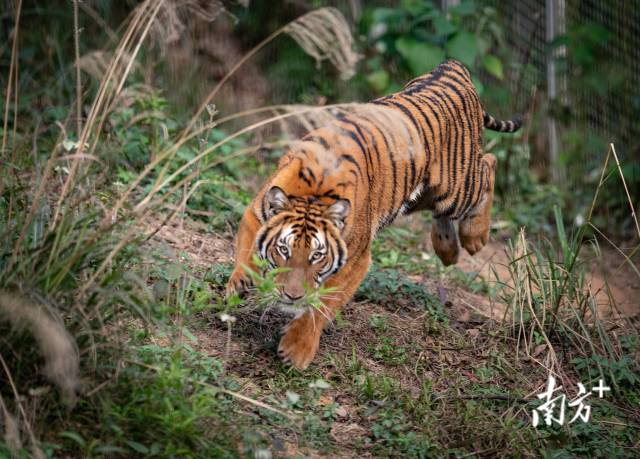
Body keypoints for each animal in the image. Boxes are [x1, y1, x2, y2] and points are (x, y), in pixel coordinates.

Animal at [225, 61, 520, 370]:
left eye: (317, 256)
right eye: (284, 250)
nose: (293, 296)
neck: (313, 192)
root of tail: (451, 67)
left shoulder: (356, 261)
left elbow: (321, 307)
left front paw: (296, 350)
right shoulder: (254, 215)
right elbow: (245, 252)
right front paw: (239, 284)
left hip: (456, 186)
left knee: (489, 165)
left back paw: (474, 237)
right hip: (417, 195)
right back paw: (448, 251)